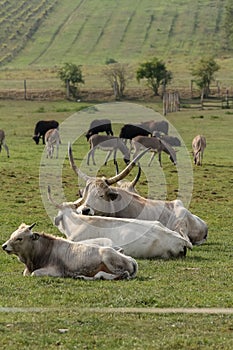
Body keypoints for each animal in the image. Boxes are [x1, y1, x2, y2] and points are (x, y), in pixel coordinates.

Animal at [1, 224, 137, 282]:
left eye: (19, 238)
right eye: (12, 235)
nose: (4, 246)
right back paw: (81, 276)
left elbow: (35, 274)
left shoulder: (56, 271)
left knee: (121, 274)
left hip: (109, 258)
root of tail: (130, 259)